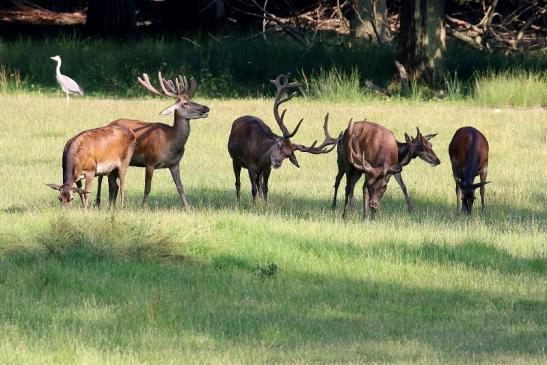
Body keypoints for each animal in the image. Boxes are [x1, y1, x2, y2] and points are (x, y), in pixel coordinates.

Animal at [96, 72, 210, 210]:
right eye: (185, 104)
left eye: (190, 100)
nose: (206, 108)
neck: (170, 141)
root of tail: (109, 124)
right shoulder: (150, 161)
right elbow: (147, 188)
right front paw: (143, 208)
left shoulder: (174, 164)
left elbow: (180, 187)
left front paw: (188, 208)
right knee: (106, 180)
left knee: (113, 183)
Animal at [228, 73, 340, 202]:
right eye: (278, 145)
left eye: (288, 155)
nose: (277, 162)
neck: (259, 156)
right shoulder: (251, 166)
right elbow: (253, 190)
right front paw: (254, 204)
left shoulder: (267, 167)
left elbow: (265, 187)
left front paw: (265, 204)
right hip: (235, 160)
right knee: (238, 183)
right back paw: (238, 201)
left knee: (258, 183)